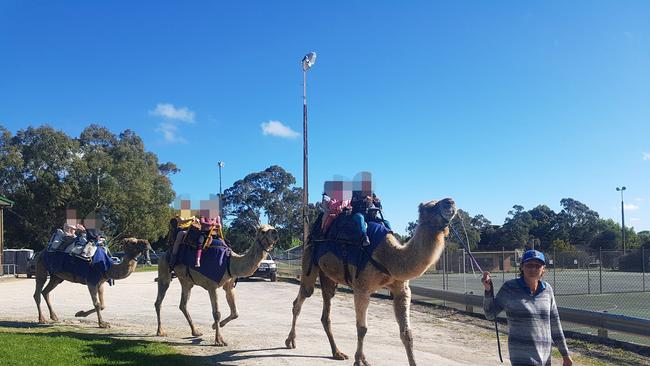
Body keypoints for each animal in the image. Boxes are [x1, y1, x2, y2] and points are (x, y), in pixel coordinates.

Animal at [284, 197, 456, 366]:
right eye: (429, 207)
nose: (450, 202)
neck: (389, 258)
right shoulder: (362, 289)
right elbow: (362, 328)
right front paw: (358, 361)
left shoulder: (402, 289)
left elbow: (407, 333)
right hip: (309, 260)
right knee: (301, 299)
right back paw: (290, 341)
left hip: (328, 277)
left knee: (326, 310)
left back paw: (337, 353)